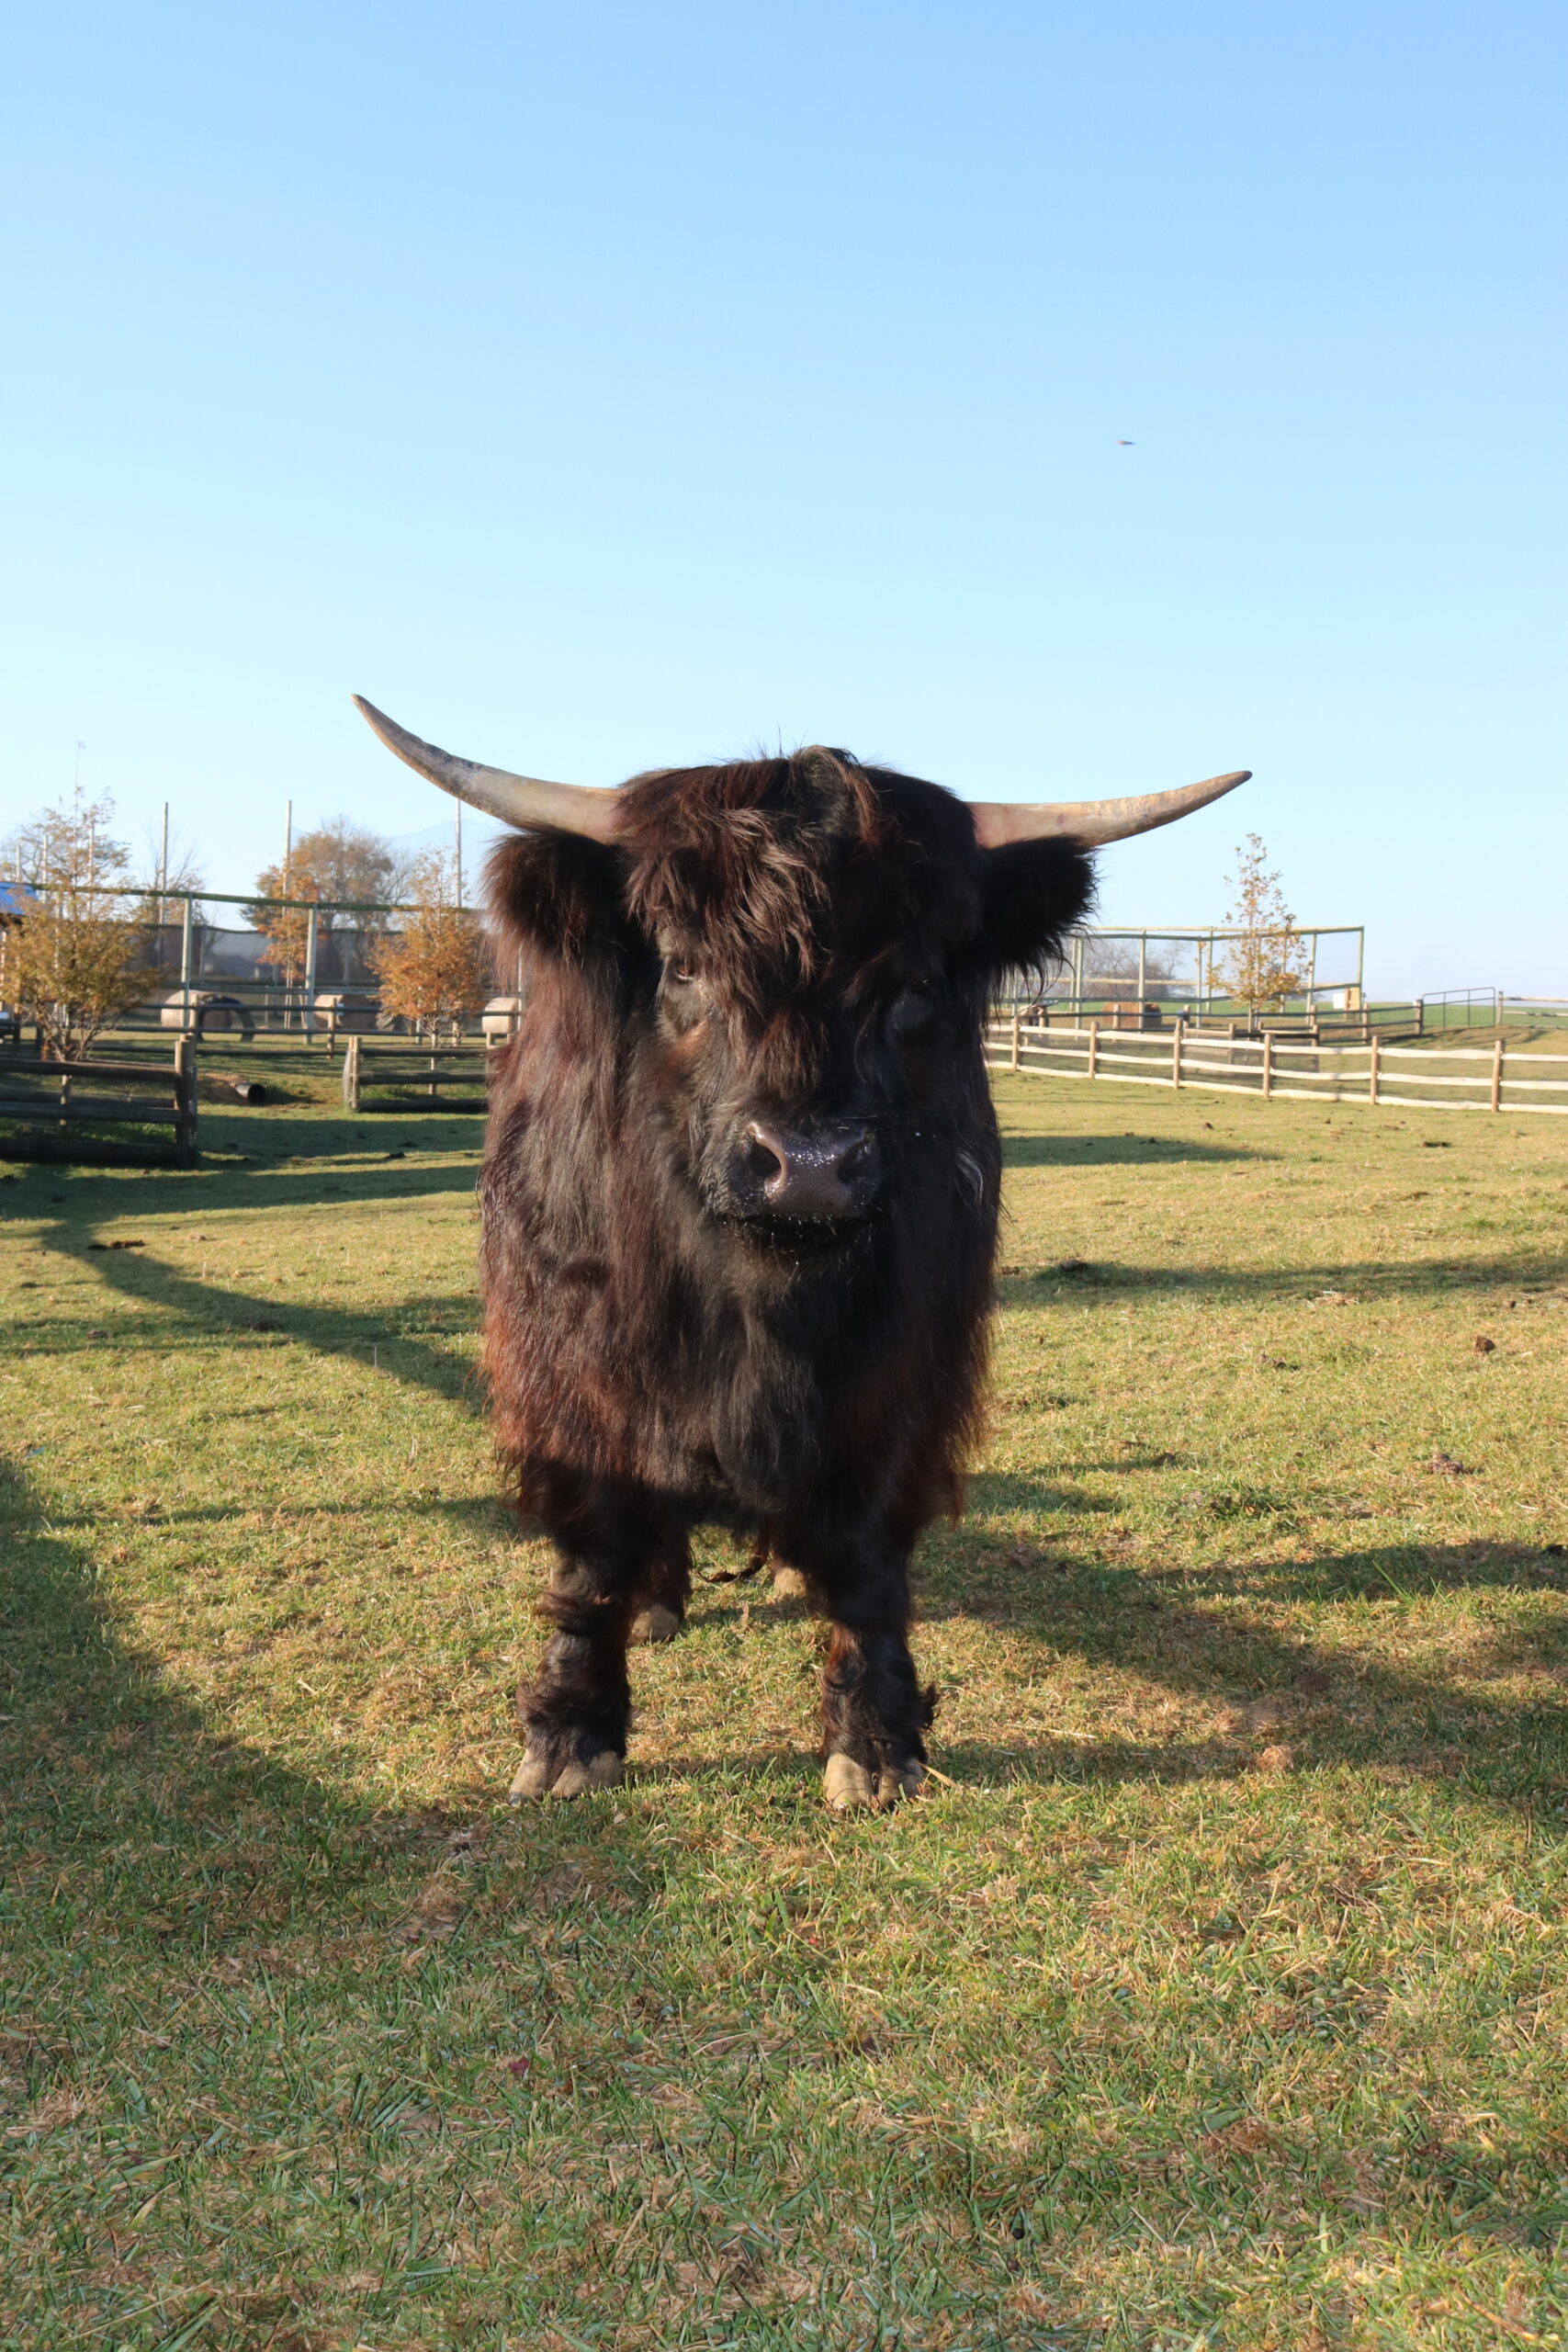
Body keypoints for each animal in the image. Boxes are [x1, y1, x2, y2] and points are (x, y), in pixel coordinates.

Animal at [354, 699, 1247, 1809]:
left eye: (911, 983)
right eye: (684, 966)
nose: (809, 1167)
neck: (759, 1308)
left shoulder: (903, 1377)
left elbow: (865, 1559)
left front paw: (877, 1743)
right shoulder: (571, 1371)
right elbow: (595, 1550)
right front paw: (569, 1737)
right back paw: (660, 1604)